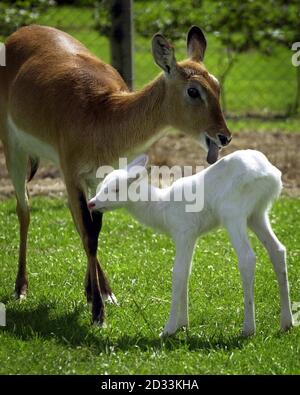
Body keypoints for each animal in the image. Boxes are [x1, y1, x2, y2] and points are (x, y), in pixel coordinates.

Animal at [0, 25, 232, 328]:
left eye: (216, 85)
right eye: (193, 90)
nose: (224, 136)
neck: (103, 114)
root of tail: (21, 32)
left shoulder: (100, 176)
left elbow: (93, 229)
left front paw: (102, 295)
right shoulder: (73, 173)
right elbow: (89, 234)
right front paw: (98, 313)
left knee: (74, 218)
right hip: (13, 147)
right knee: (24, 209)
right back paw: (21, 288)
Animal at [88, 150, 292, 336]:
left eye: (116, 189)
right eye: (102, 185)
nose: (91, 203)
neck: (162, 207)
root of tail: (270, 174)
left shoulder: (183, 232)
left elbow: (178, 273)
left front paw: (168, 329)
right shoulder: (191, 236)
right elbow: (186, 272)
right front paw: (183, 324)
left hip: (233, 213)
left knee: (247, 258)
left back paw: (248, 329)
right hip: (257, 214)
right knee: (278, 250)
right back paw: (286, 323)